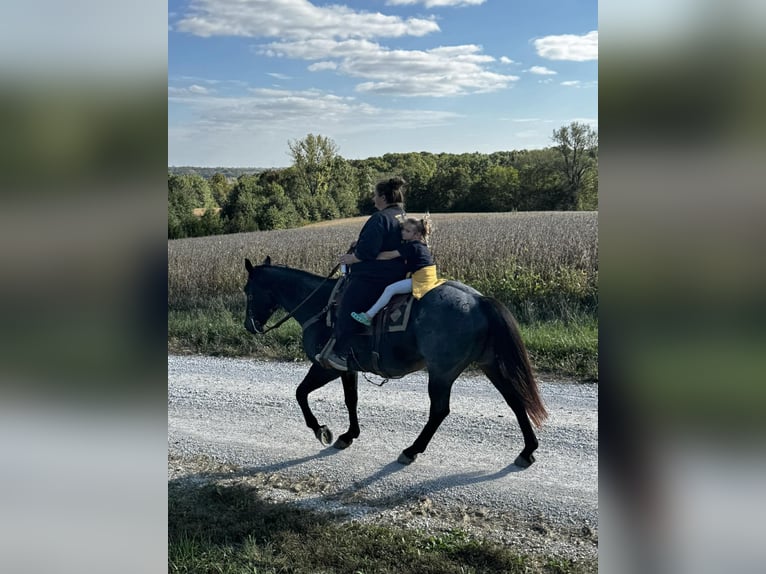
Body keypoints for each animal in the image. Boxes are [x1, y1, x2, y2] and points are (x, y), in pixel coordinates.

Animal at [243, 256, 547, 467]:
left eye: (248, 290)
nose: (249, 326)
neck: (319, 305)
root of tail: (479, 300)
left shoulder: (325, 365)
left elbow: (300, 393)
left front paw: (322, 431)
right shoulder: (348, 368)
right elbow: (350, 399)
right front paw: (348, 435)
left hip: (441, 372)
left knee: (439, 411)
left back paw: (411, 450)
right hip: (490, 364)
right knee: (515, 400)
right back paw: (527, 451)